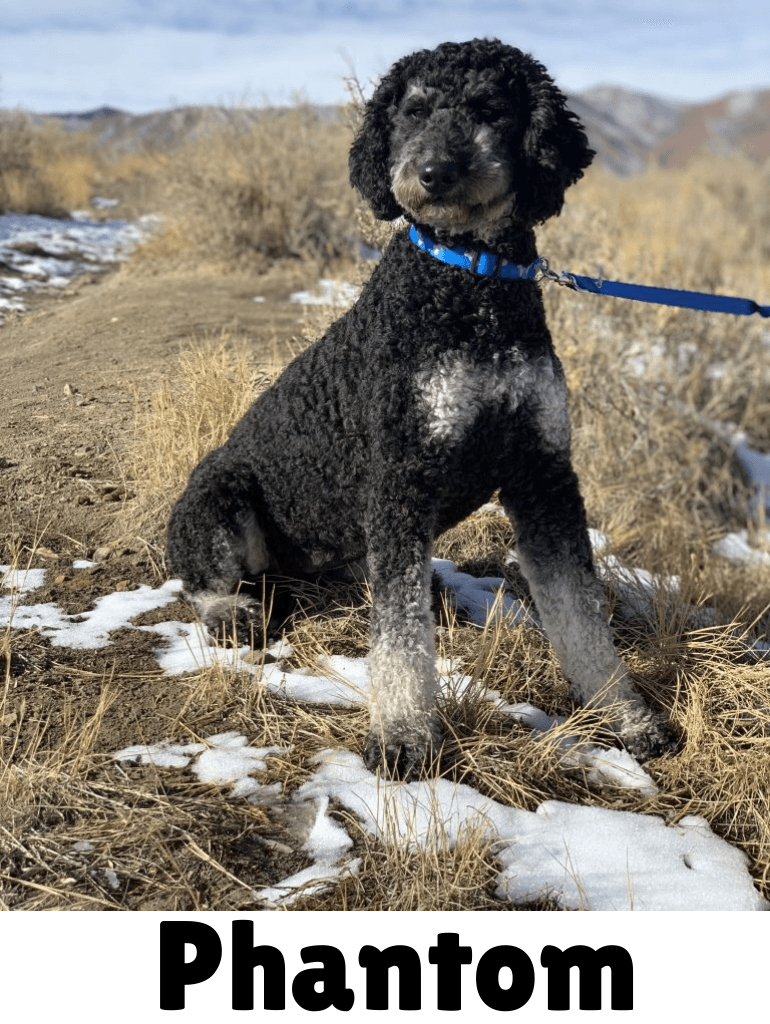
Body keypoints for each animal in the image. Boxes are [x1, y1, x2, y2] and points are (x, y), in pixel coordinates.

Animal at [165, 37, 671, 774]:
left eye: (489, 107)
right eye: (413, 111)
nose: (433, 173)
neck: (471, 282)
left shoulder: (543, 473)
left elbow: (579, 613)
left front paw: (626, 716)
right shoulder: (402, 475)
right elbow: (401, 640)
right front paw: (404, 736)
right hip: (221, 491)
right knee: (203, 577)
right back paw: (231, 611)